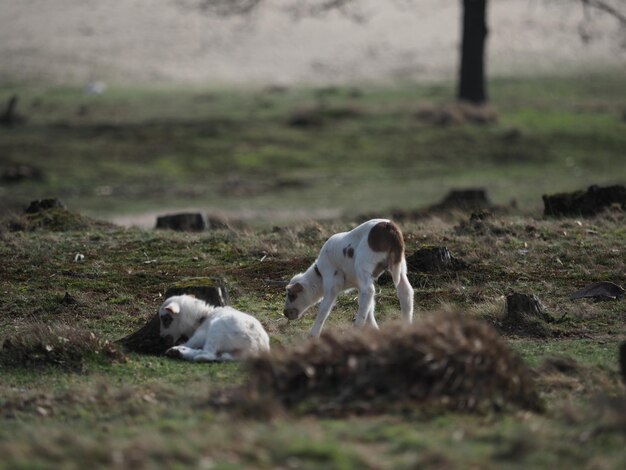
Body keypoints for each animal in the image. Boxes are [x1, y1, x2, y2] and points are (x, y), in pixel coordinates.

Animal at [282, 218, 410, 336]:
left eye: (292, 295)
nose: (285, 313)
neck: (319, 275)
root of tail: (389, 226)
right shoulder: (358, 284)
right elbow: (368, 307)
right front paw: (375, 329)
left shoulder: (332, 282)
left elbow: (324, 308)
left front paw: (313, 334)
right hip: (399, 264)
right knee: (405, 290)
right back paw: (407, 324)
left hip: (364, 263)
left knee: (369, 291)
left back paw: (357, 327)